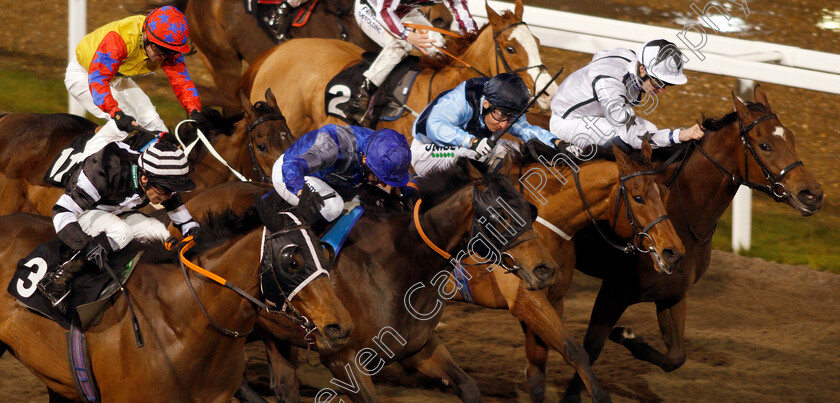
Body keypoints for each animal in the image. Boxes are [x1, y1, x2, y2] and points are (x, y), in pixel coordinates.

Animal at [544, 85, 828, 400]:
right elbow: (591, 347)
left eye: (791, 137)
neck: (683, 212)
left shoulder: (673, 291)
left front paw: (627, 336)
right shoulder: (615, 290)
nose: (812, 194)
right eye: (765, 145)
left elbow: (676, 357)